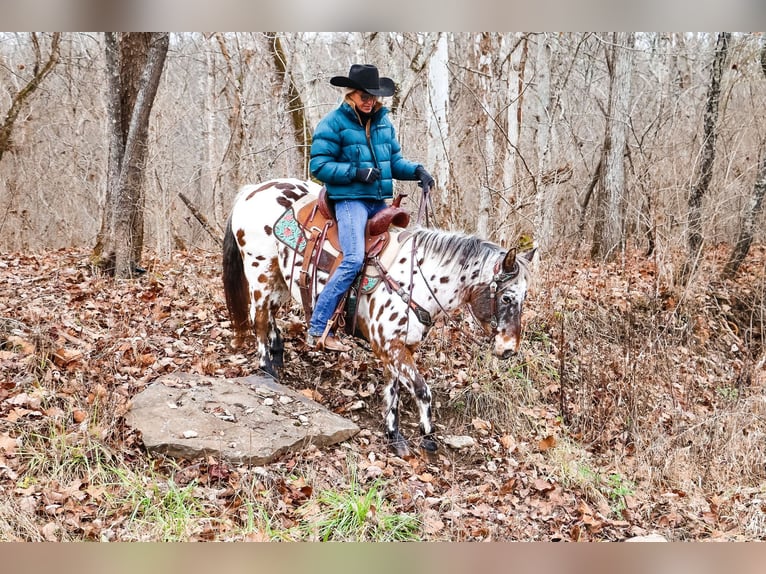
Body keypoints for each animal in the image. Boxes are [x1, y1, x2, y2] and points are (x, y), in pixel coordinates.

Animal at [222, 178, 536, 456]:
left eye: (524, 297)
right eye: (507, 297)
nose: (509, 349)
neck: (418, 279)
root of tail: (253, 190)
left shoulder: (399, 348)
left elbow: (393, 389)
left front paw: (394, 435)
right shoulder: (390, 346)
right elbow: (422, 391)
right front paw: (427, 437)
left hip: (280, 280)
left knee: (271, 316)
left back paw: (277, 356)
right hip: (261, 273)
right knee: (259, 319)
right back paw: (267, 370)